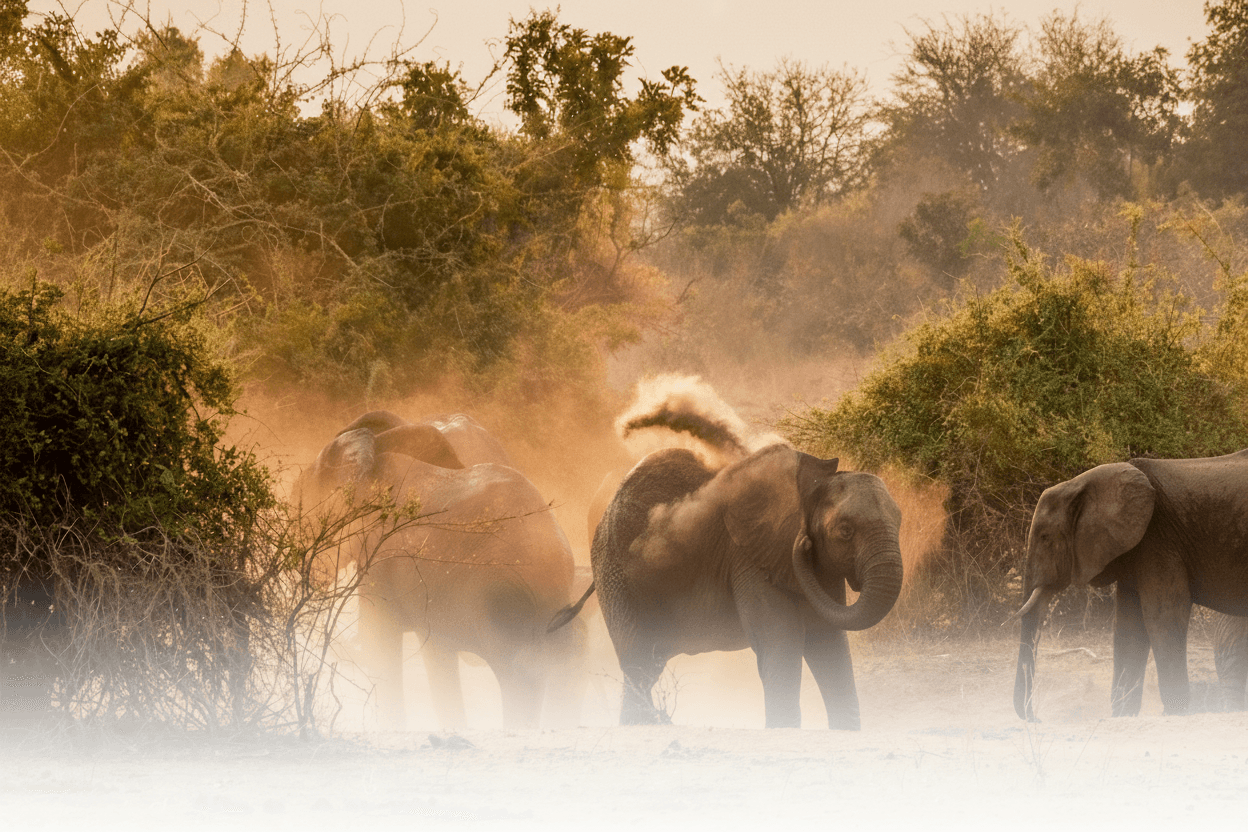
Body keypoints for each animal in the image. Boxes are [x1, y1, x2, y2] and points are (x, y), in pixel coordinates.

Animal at [298, 410, 584, 730]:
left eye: (302, 492)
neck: (372, 451)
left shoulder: (381, 556)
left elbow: (381, 643)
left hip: (503, 601)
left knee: (518, 676)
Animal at [556, 442, 904, 729]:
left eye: (899, 521)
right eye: (845, 530)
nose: (803, 542)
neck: (811, 484)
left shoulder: (819, 569)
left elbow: (829, 645)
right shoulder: (749, 559)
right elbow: (781, 642)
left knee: (644, 668)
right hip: (616, 577)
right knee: (640, 663)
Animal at [1014, 450, 1248, 720]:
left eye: (1045, 538)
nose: (1037, 719)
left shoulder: (1158, 539)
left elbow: (1163, 615)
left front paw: (1174, 713)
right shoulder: (1138, 547)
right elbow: (1129, 625)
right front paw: (1122, 716)